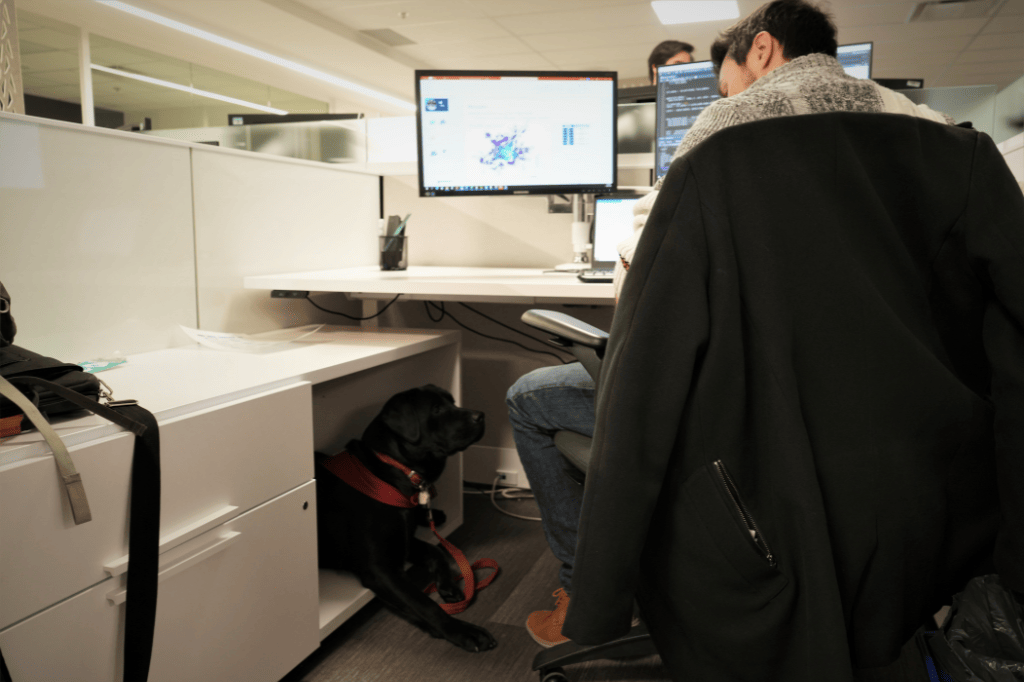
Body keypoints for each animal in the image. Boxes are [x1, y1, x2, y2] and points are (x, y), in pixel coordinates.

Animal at [317, 385, 497, 651]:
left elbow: (437, 552)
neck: (391, 473)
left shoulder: (403, 542)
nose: (481, 415)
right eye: (436, 409)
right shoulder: (380, 570)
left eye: (453, 402)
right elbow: (424, 604)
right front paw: (462, 631)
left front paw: (448, 586)